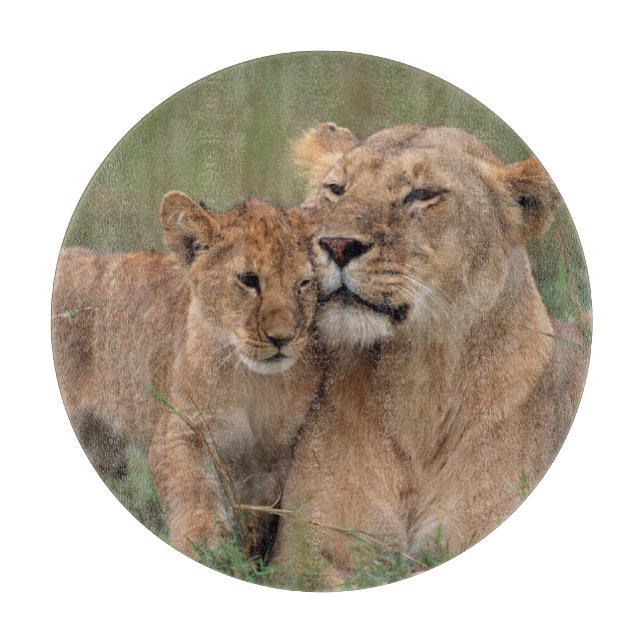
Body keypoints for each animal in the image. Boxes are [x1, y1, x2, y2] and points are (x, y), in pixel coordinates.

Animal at [52, 192, 322, 557]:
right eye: (249, 280)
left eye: (304, 283)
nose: (283, 338)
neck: (253, 381)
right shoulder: (180, 429)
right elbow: (192, 491)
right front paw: (204, 545)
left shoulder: (275, 454)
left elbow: (256, 511)